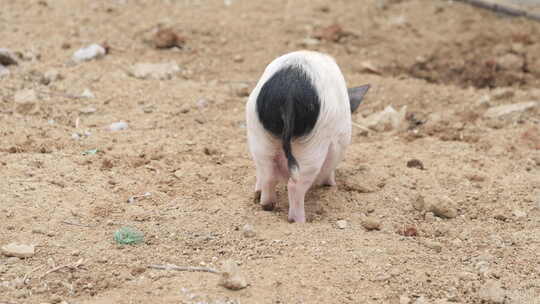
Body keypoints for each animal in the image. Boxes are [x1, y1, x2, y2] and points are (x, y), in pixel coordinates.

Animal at [246, 50, 370, 223]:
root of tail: (289, 94)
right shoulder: (339, 140)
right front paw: (331, 185)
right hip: (313, 145)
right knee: (295, 186)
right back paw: (300, 221)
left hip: (259, 135)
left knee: (267, 173)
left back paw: (266, 205)